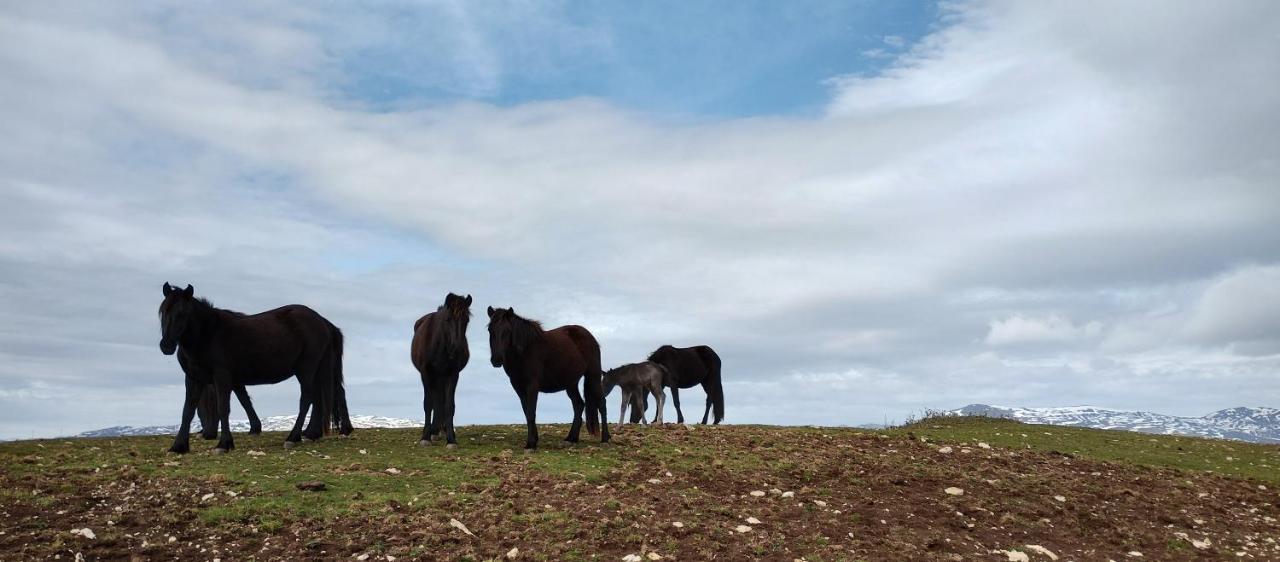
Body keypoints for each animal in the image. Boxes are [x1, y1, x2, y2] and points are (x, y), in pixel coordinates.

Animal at [158, 284, 348, 455]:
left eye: (183, 313)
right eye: (162, 312)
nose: (166, 346)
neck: (208, 335)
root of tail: (322, 321)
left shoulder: (222, 377)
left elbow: (223, 408)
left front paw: (224, 444)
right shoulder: (194, 378)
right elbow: (188, 411)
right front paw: (178, 446)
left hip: (306, 369)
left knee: (307, 399)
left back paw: (293, 437)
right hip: (317, 370)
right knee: (318, 398)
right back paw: (311, 434)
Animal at [409, 294, 471, 448]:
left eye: (466, 320)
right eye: (448, 319)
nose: (457, 349)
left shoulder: (452, 374)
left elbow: (449, 405)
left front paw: (451, 439)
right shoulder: (426, 373)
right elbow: (428, 404)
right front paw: (425, 437)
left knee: (441, 402)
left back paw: (440, 431)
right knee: (436, 401)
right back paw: (434, 431)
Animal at [488, 305, 609, 450]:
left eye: (507, 331)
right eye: (490, 330)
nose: (496, 360)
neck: (525, 350)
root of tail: (590, 337)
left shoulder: (532, 386)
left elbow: (531, 412)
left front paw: (531, 443)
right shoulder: (519, 388)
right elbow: (527, 412)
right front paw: (534, 440)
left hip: (593, 376)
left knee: (601, 403)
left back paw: (605, 438)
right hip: (571, 383)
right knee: (579, 405)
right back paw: (571, 438)